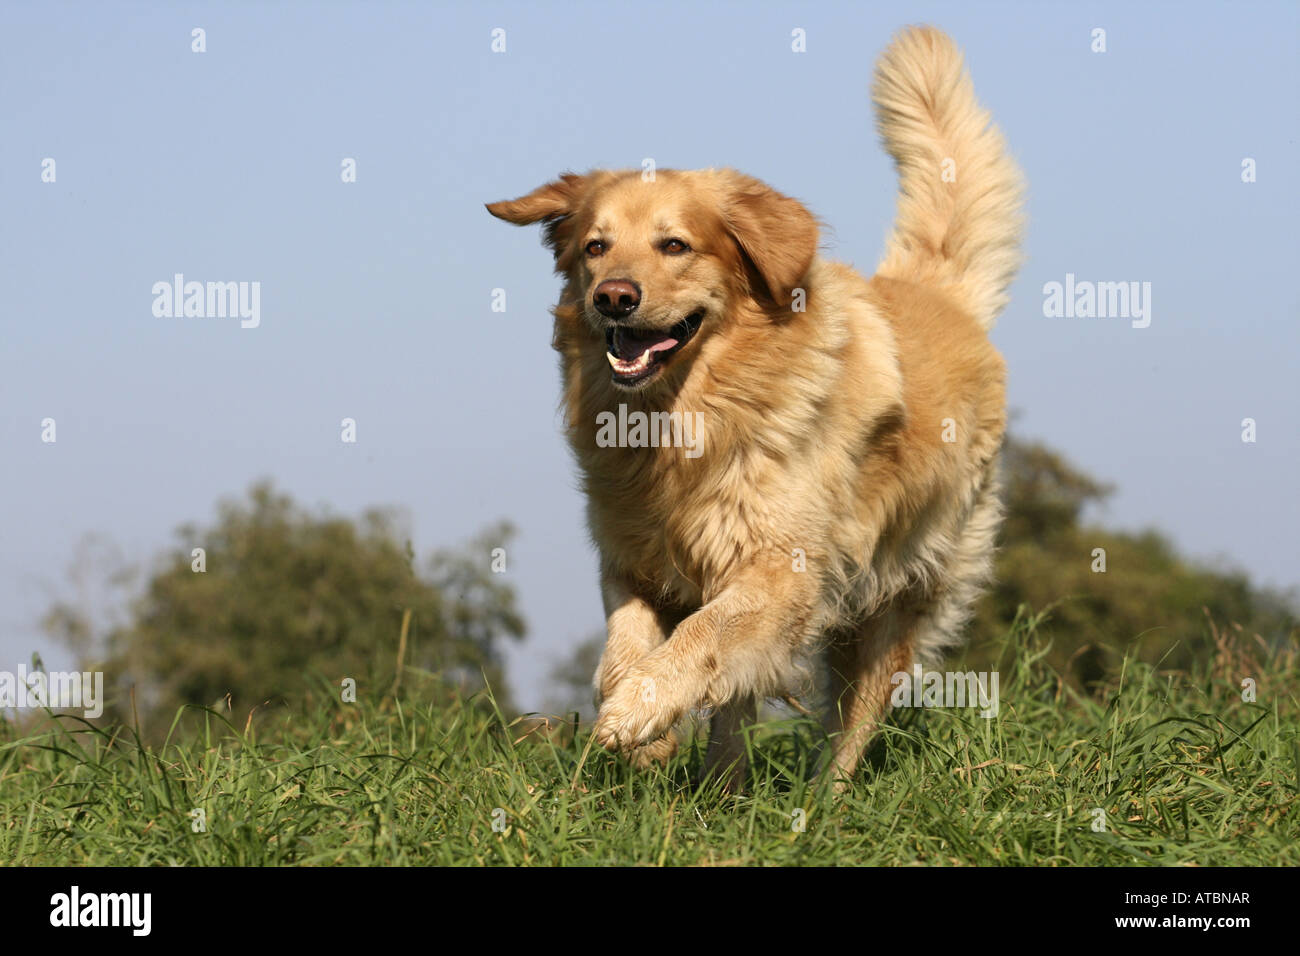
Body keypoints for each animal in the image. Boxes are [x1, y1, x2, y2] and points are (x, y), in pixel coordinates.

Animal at [488, 26, 1024, 790]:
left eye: (675, 245)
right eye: (595, 246)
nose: (612, 296)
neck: (689, 416)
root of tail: (938, 296)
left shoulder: (781, 570)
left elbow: (701, 634)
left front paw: (634, 713)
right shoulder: (630, 559)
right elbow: (625, 643)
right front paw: (644, 727)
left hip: (894, 598)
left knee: (854, 719)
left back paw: (824, 801)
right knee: (738, 707)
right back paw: (724, 787)